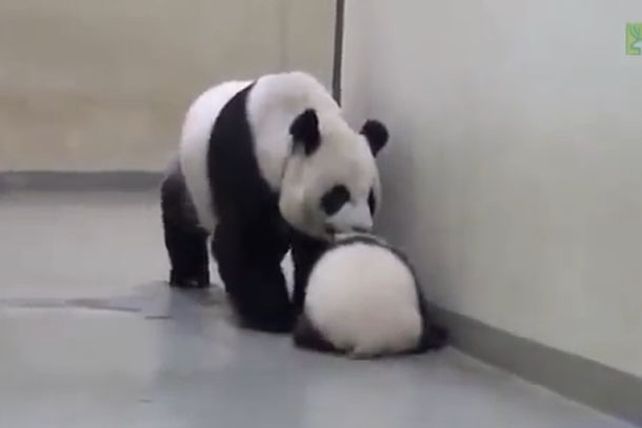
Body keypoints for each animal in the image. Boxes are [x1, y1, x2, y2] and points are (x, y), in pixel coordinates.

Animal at [160, 71, 389, 333]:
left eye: (370, 198)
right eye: (337, 195)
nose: (360, 228)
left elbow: (310, 251)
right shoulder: (244, 164)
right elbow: (247, 242)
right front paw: (276, 316)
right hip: (191, 181)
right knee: (181, 216)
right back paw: (189, 277)